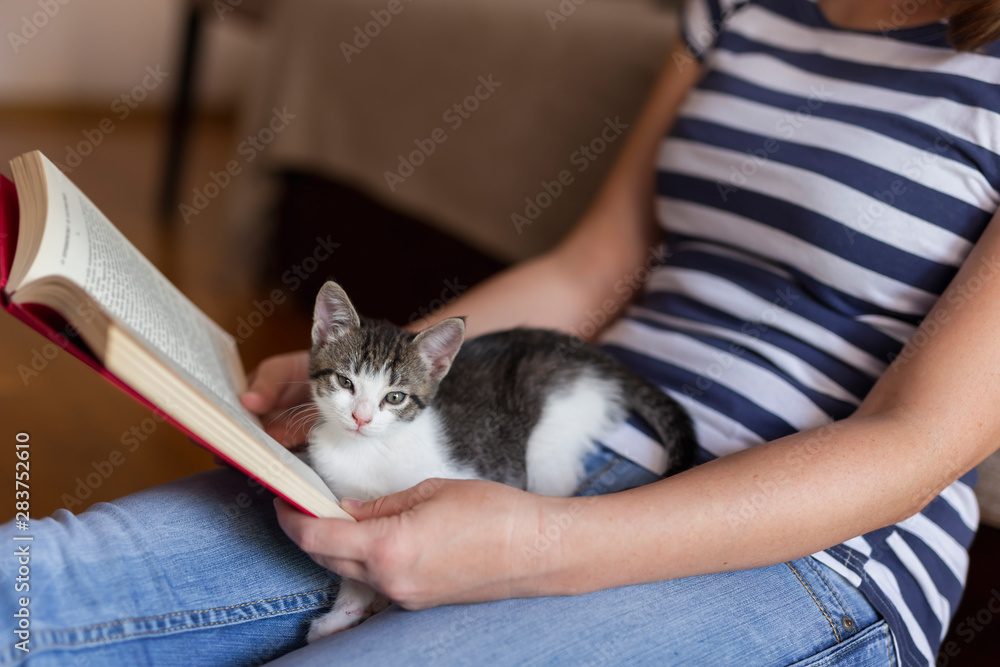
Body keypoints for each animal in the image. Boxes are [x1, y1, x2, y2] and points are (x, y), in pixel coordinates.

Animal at [304, 280, 696, 640]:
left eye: (395, 397)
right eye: (345, 382)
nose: (361, 418)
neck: (366, 450)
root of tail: (595, 359)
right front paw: (343, 614)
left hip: (551, 433)